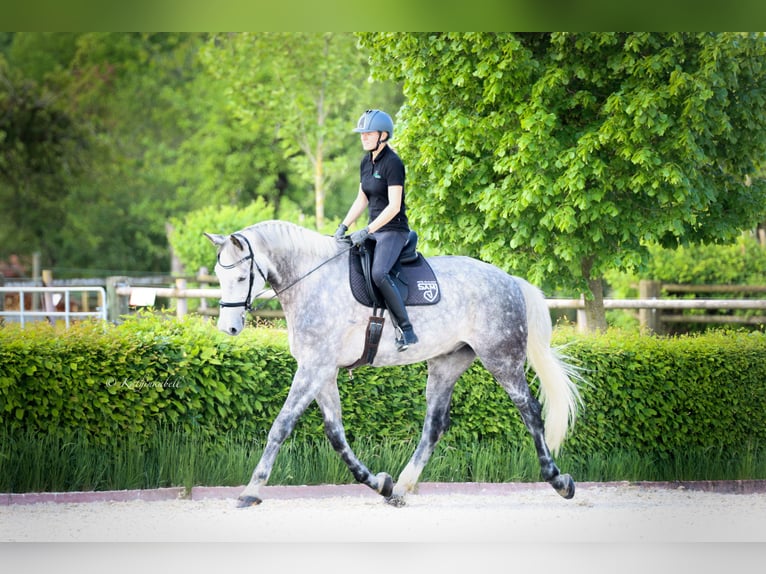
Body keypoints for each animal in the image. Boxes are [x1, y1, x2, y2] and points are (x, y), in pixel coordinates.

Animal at [204, 220, 584, 508]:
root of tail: (510, 280)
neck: (312, 281)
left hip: (502, 358)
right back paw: (400, 488)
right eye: (219, 277)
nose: (228, 328)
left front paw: (251, 490)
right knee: (434, 425)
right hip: (447, 362)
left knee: (530, 410)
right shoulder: (322, 371)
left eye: (241, 278)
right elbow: (336, 434)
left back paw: (559, 481)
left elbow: (281, 425)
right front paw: (379, 483)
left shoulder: (313, 369)